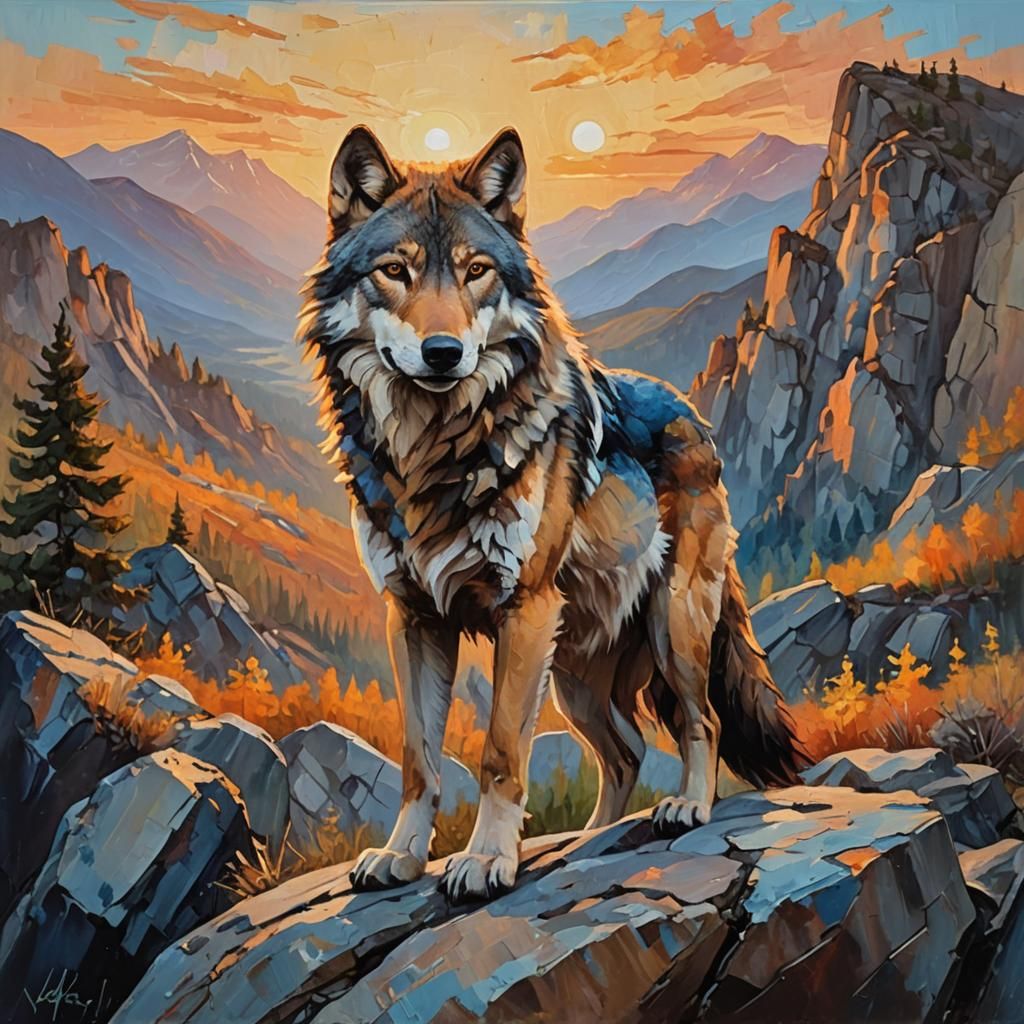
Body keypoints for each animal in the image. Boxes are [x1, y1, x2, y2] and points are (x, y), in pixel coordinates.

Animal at [299, 125, 807, 902]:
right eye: (396, 271)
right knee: (626, 751)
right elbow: (419, 758)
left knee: (704, 721)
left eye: (476, 271)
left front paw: (486, 861)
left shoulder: (523, 607)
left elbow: (500, 752)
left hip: (672, 627)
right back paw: (583, 842)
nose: (442, 352)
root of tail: (694, 416)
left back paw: (686, 806)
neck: (433, 450)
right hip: (573, 674)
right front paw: (403, 856)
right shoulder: (411, 617)